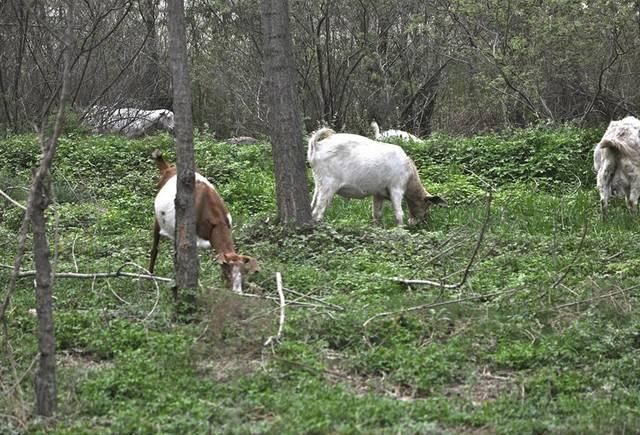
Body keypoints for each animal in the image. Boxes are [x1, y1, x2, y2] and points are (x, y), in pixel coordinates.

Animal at [149, 149, 258, 292]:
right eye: (226, 273)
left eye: (243, 273)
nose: (237, 291)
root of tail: (168, 168)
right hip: (159, 219)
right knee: (155, 248)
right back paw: (149, 277)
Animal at [306, 127, 444, 227]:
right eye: (426, 205)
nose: (421, 222)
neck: (409, 174)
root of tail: (318, 146)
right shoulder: (396, 188)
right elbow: (399, 213)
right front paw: (401, 229)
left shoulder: (378, 194)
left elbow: (376, 214)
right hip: (328, 185)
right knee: (318, 212)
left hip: (319, 184)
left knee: (312, 206)